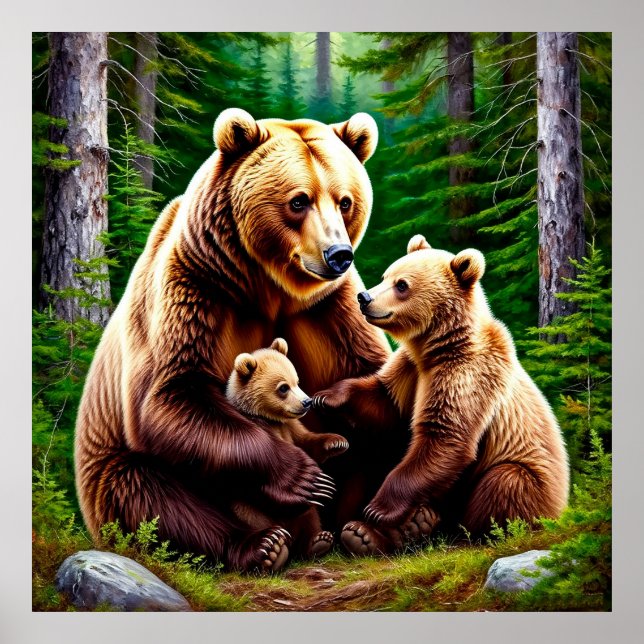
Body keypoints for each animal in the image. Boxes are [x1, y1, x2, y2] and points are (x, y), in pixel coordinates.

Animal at [225, 337, 350, 564]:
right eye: (283, 387)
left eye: (297, 381)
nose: (307, 402)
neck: (269, 418)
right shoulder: (257, 427)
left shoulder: (290, 427)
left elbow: (307, 441)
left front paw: (337, 442)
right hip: (249, 512)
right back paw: (275, 549)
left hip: (303, 514)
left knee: (309, 517)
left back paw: (317, 542)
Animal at [313, 234, 570, 555]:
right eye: (385, 276)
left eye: (402, 284)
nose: (364, 297)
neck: (436, 347)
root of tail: (559, 510)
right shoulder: (410, 369)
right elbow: (384, 401)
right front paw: (327, 396)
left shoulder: (467, 375)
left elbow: (444, 437)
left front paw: (378, 508)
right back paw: (375, 532)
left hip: (530, 482)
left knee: (505, 482)